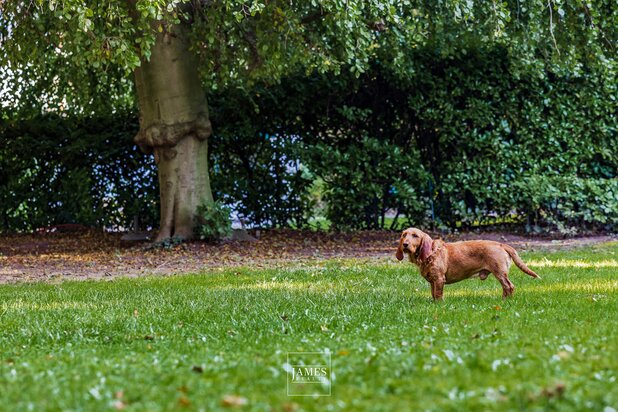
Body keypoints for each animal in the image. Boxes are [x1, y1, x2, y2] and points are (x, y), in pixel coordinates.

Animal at [398, 229, 536, 300]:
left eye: (415, 235)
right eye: (404, 235)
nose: (405, 244)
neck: (430, 253)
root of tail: (501, 244)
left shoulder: (439, 279)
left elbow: (438, 294)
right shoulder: (433, 281)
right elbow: (433, 294)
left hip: (500, 273)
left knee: (509, 286)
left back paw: (506, 301)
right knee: (506, 287)